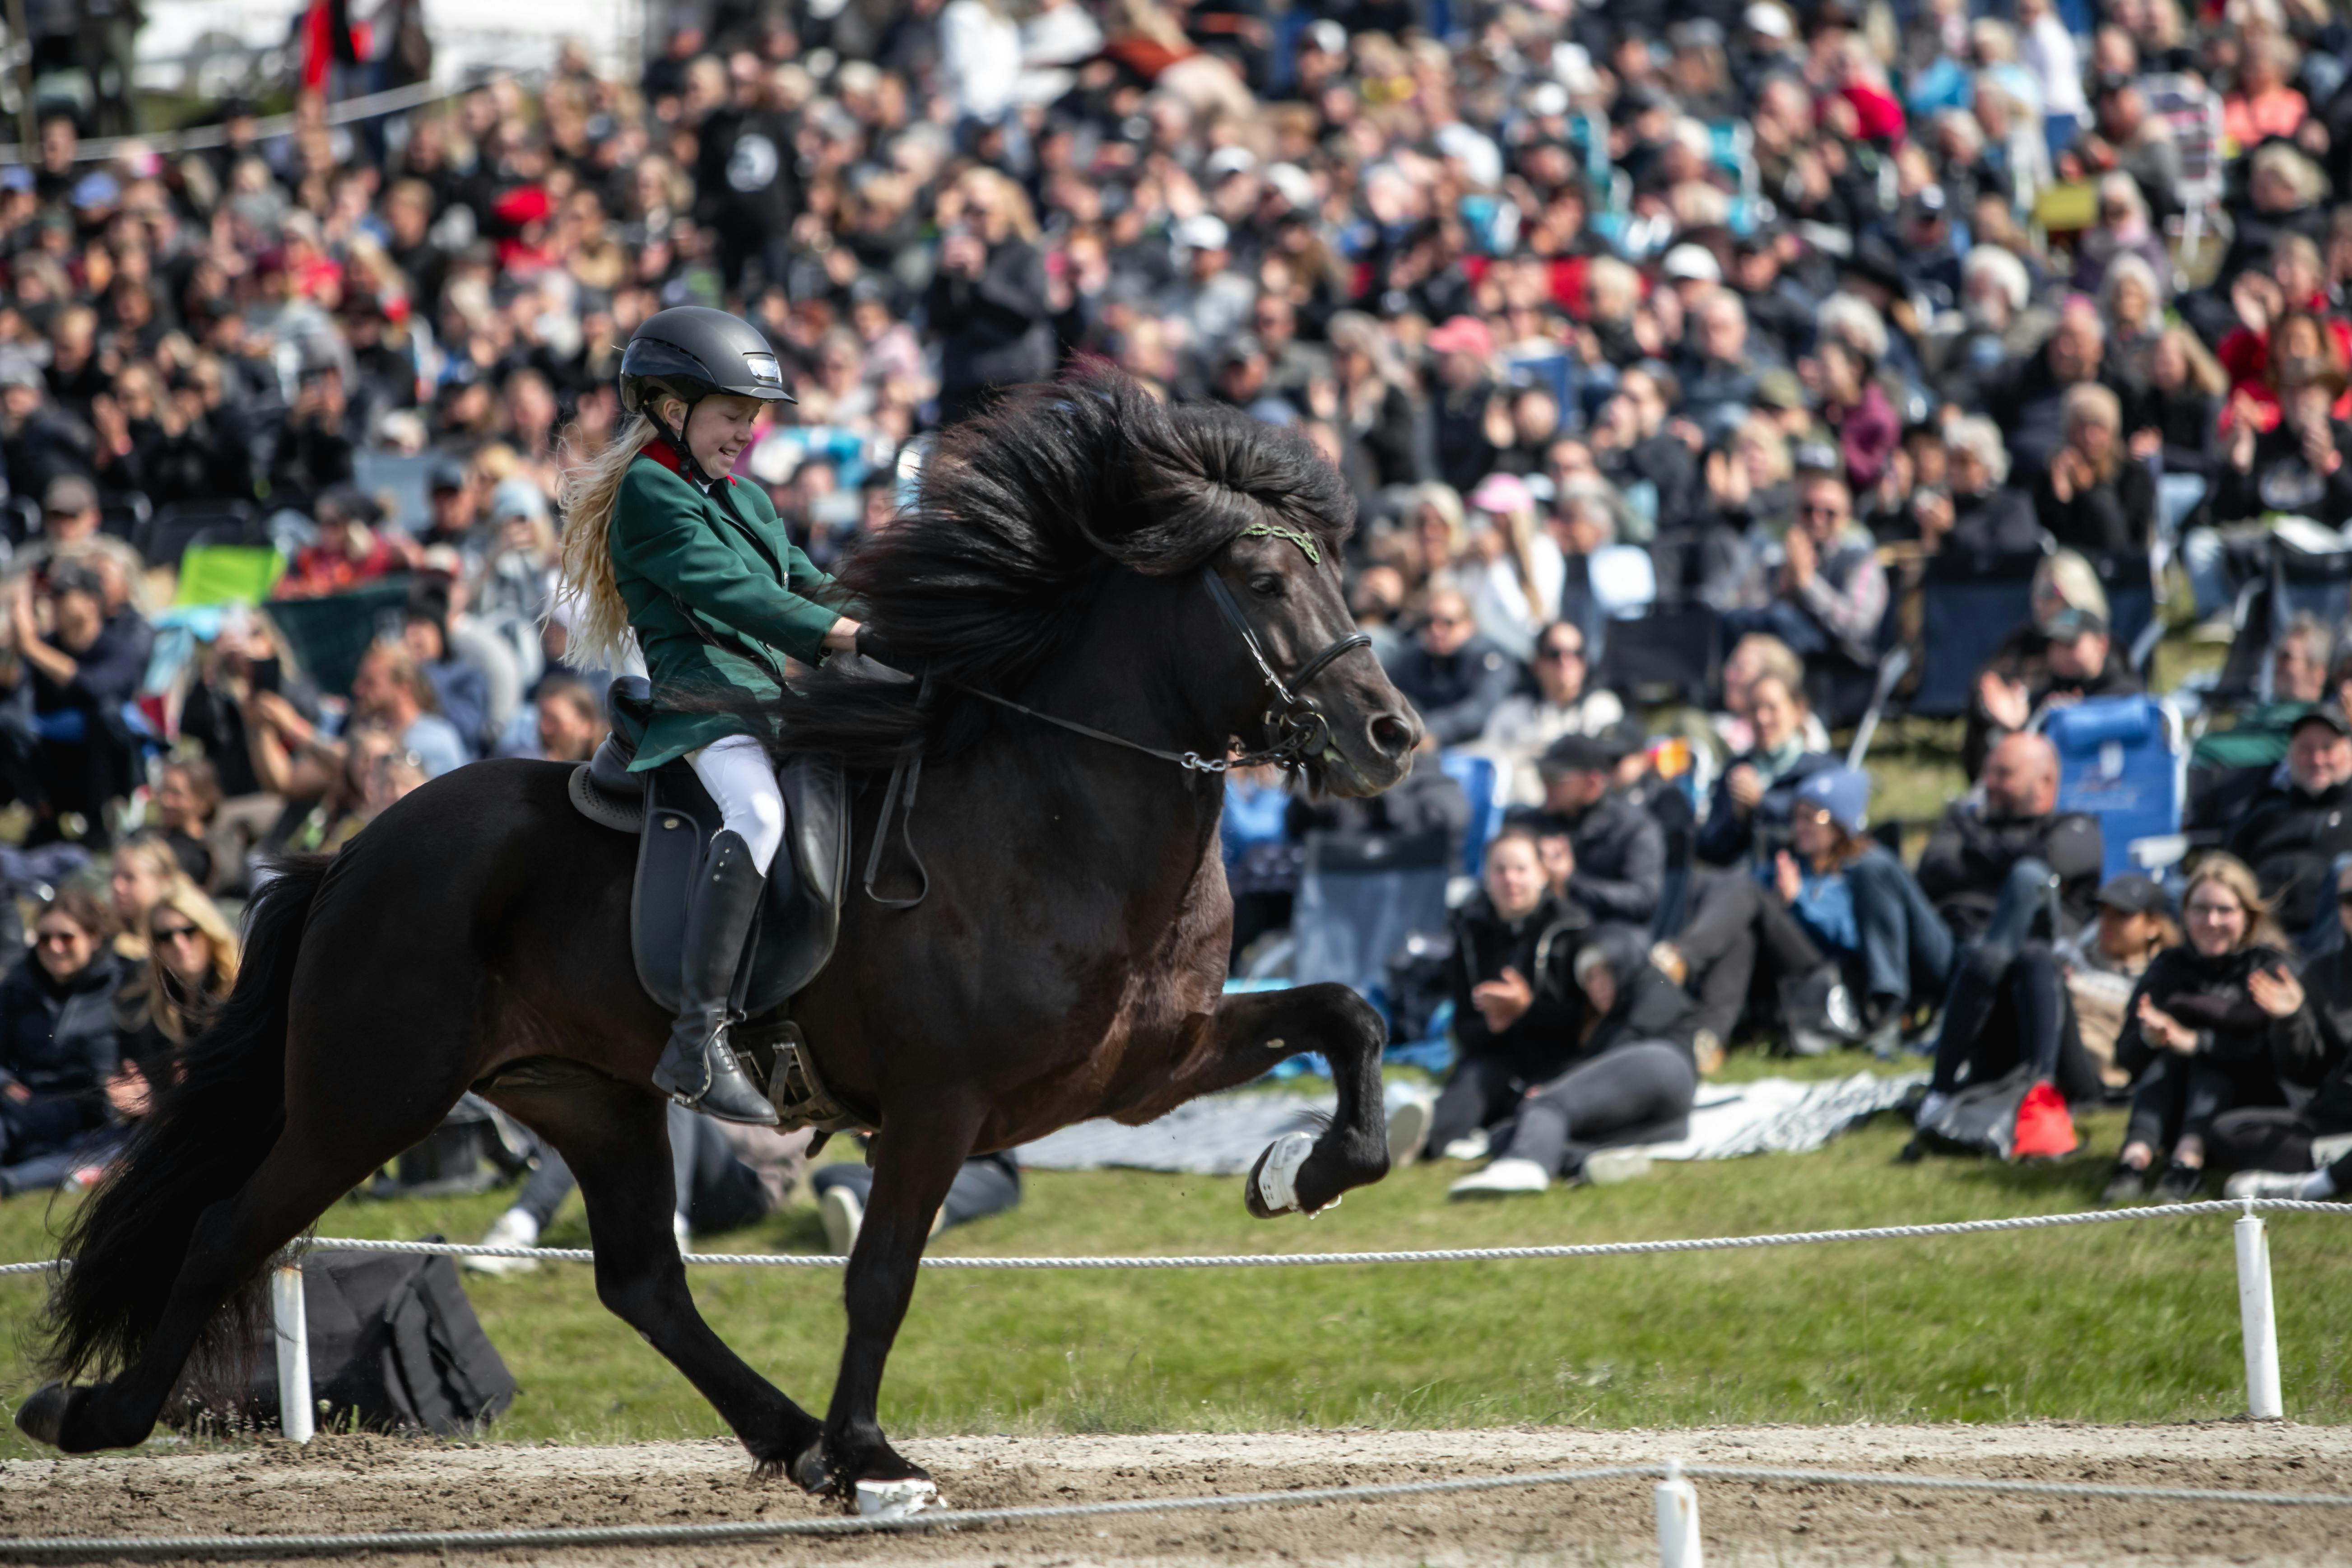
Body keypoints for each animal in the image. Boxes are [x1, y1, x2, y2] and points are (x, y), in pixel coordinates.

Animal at [18, 373, 1420, 1504]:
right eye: (1263, 579)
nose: (1391, 737)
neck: (1057, 809)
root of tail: (356, 849)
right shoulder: (939, 1102)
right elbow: (880, 1276)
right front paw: (873, 1459)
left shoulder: (1145, 1069)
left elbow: (1349, 1014)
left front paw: (1298, 1170)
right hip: (368, 1094)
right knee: (229, 1228)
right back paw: (93, 1416)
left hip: (588, 1097)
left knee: (641, 1280)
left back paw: (786, 1436)